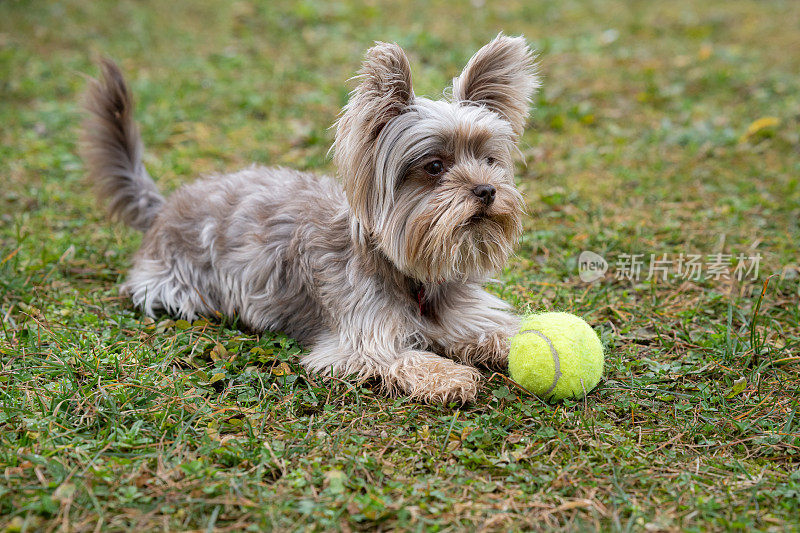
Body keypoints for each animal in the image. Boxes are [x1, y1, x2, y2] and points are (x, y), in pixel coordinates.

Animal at [81, 34, 540, 404]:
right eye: (434, 167)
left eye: (488, 159)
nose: (487, 190)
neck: (412, 277)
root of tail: (163, 208)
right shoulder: (358, 340)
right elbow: (405, 357)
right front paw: (448, 375)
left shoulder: (466, 314)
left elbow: (501, 331)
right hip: (175, 287)